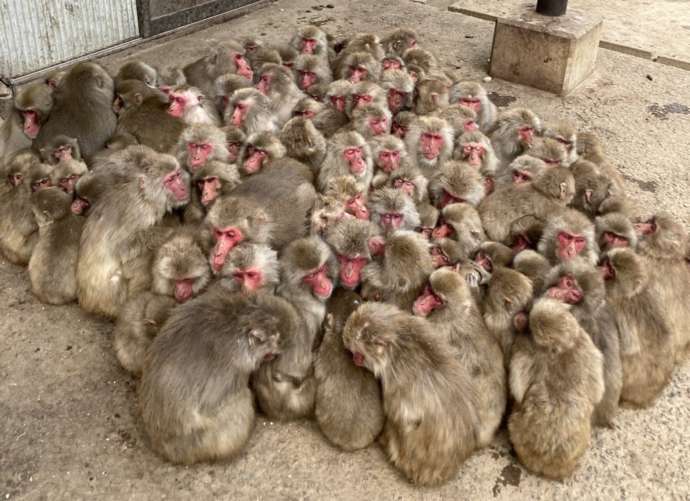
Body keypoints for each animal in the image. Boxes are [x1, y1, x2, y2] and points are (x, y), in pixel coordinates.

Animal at [77, 146, 190, 318]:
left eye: (177, 175)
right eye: (170, 180)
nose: (183, 187)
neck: (146, 197)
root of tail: (85, 301)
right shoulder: (140, 212)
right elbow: (122, 247)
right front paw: (170, 230)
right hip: (111, 299)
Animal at [252, 237, 337, 420]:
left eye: (321, 269)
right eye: (311, 276)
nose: (324, 283)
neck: (296, 292)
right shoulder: (315, 313)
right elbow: (296, 366)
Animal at [343, 302, 479, 486]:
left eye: (358, 337)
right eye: (354, 316)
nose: (344, 335)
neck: (400, 337)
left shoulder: (394, 382)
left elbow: (398, 411)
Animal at [508, 298, 605, 479]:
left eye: (530, 329)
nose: (524, 317)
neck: (558, 345)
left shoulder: (524, 349)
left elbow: (518, 389)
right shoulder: (584, 344)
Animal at [598, 248, 674, 407]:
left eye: (610, 270)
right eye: (607, 262)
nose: (600, 267)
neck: (631, 294)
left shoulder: (617, 308)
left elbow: (628, 348)